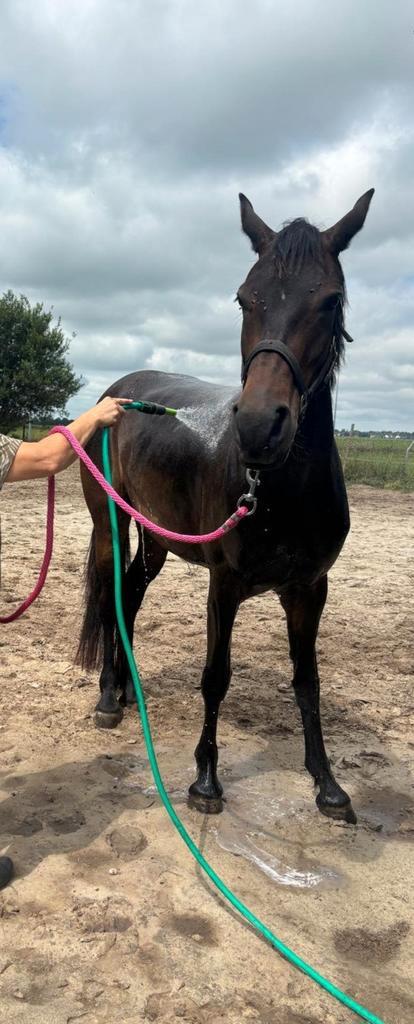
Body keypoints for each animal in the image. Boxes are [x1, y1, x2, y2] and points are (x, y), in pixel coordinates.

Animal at [78, 188, 374, 825]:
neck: (279, 490)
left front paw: (327, 784)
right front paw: (206, 781)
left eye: (330, 300)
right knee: (111, 596)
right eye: (244, 296)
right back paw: (111, 696)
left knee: (131, 595)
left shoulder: (310, 588)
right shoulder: (225, 584)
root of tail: (114, 395)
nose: (260, 427)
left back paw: (129, 687)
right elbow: (216, 676)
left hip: (157, 540)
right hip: (111, 524)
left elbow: (307, 681)